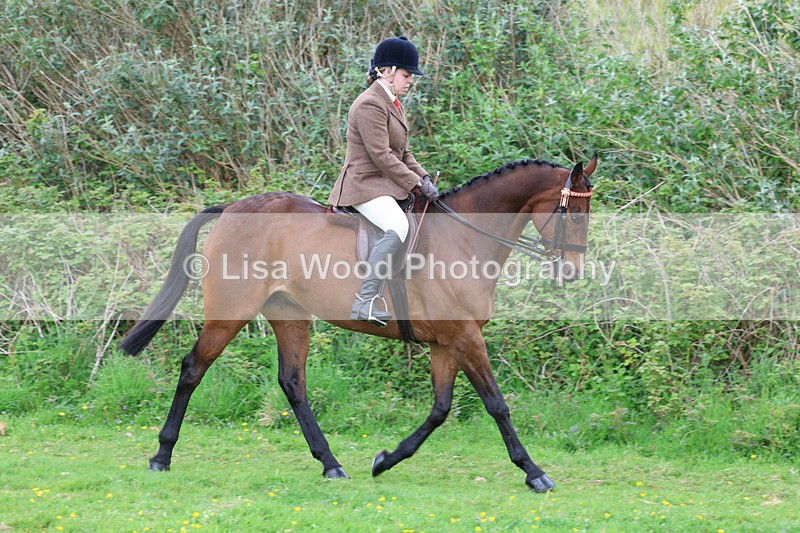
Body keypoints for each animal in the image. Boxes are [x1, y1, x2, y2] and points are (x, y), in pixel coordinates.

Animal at [120, 155, 597, 493]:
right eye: (573, 214)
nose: (573, 272)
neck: (465, 239)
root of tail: (235, 208)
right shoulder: (464, 337)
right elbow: (496, 404)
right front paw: (534, 472)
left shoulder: (446, 343)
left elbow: (439, 409)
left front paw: (386, 460)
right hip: (230, 312)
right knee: (193, 368)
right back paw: (161, 456)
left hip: (289, 315)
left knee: (293, 382)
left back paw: (331, 464)